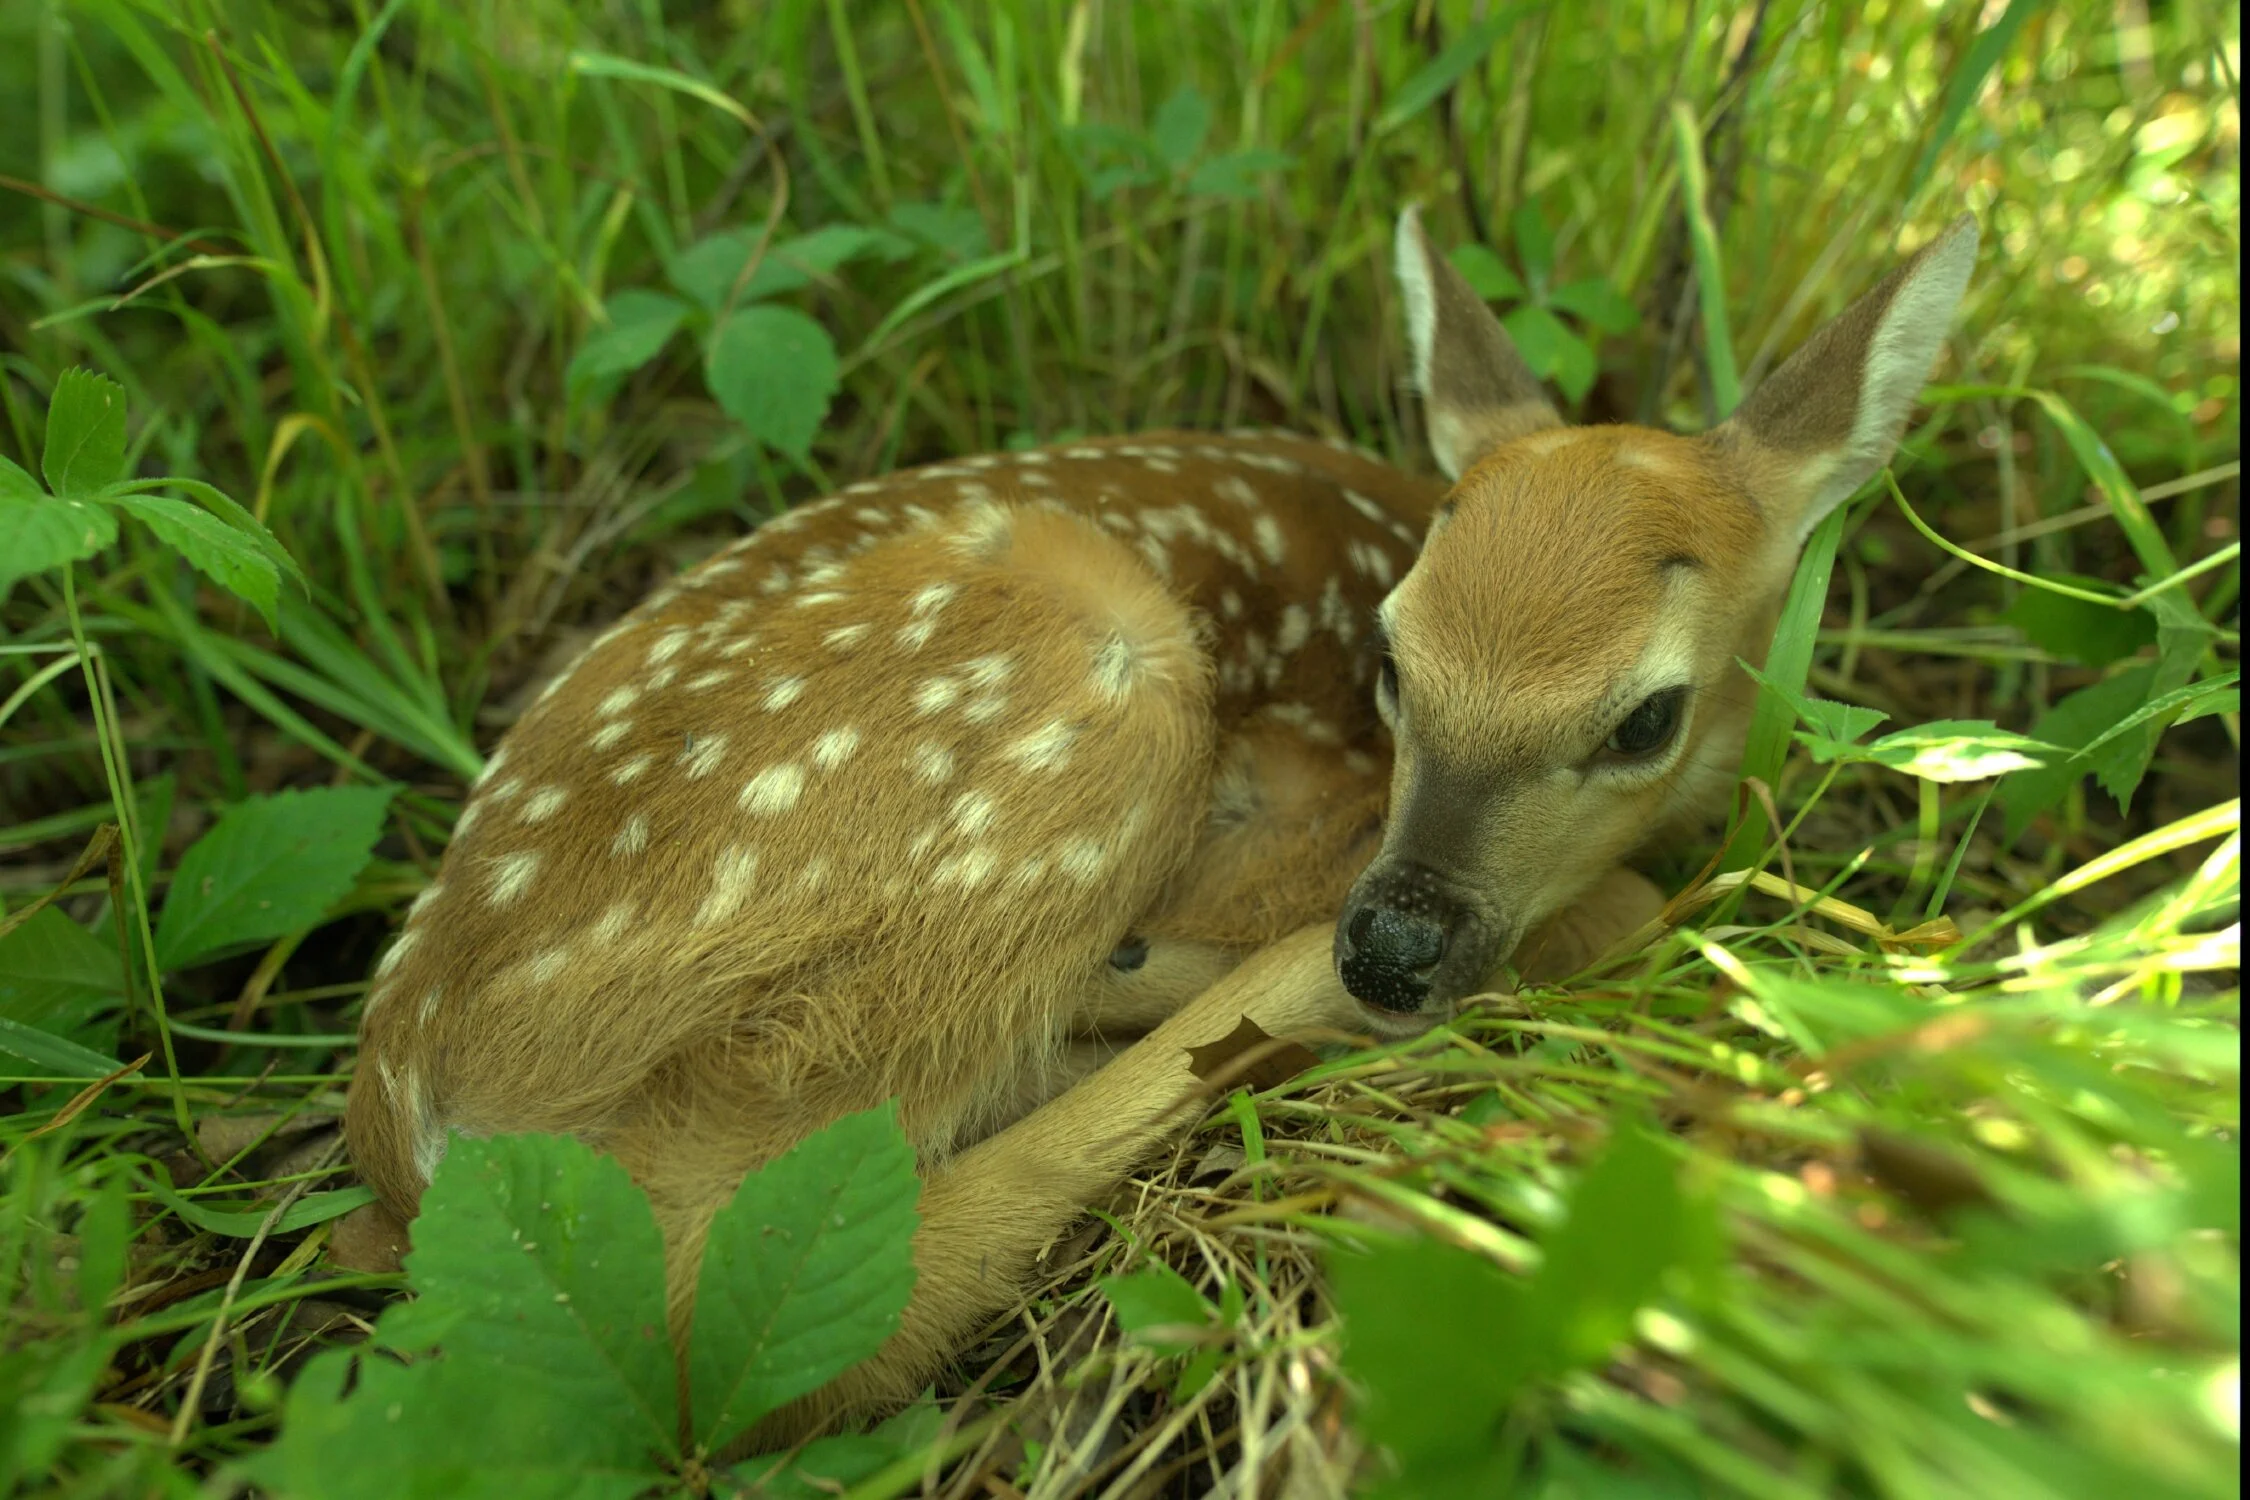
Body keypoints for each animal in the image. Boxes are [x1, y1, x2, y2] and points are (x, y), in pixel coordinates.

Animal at [343, 205, 1978, 1452]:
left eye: (1643, 717)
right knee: (781, 1303)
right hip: (1090, 681)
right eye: (1392, 661)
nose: (1392, 948)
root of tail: (413, 1117)